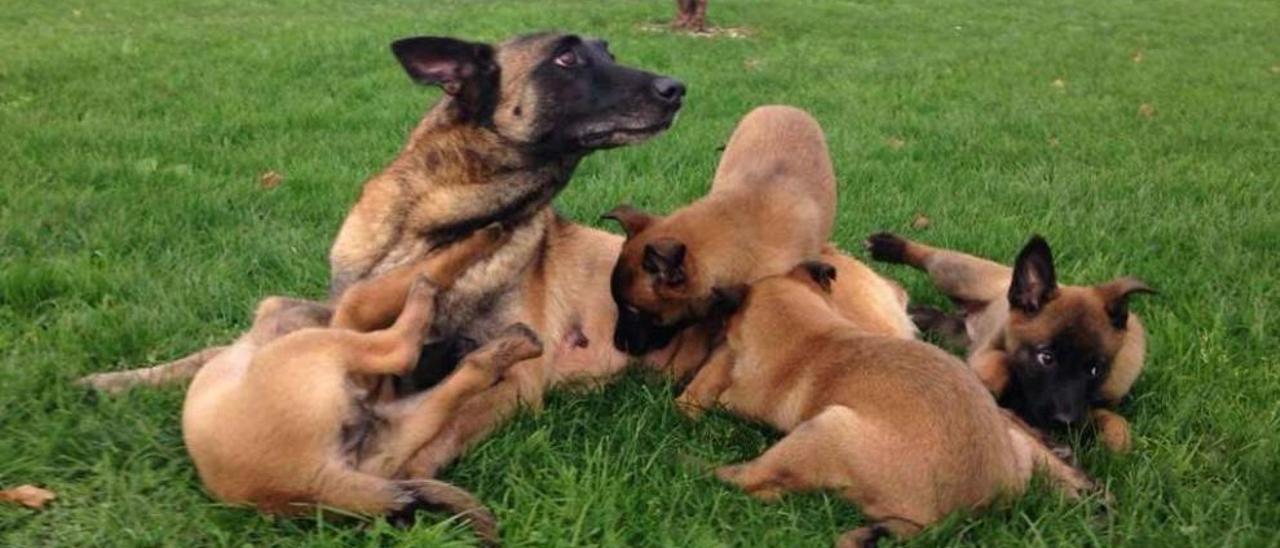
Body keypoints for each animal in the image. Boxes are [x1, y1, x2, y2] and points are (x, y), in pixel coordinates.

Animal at [81, 31, 686, 491]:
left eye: (607, 51)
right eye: (567, 58)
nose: (677, 88)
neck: (425, 228)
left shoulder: (518, 378)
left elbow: (443, 424)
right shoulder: (327, 315)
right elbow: (208, 353)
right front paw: (119, 380)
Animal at [181, 226, 540, 542]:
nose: (466, 342)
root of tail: (313, 479)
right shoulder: (352, 315)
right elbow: (389, 286)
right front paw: (484, 238)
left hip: (395, 428)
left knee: (465, 374)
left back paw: (512, 345)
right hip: (317, 349)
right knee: (401, 348)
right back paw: (430, 295)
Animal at [675, 258, 1095, 545]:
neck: (809, 332)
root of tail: (963, 514)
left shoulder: (744, 397)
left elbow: (723, 395)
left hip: (823, 429)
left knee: (751, 478)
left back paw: (696, 465)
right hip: (1016, 449)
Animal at [865, 233, 1157, 450]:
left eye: (1095, 369)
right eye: (1046, 358)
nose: (1064, 423)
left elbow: (1116, 424)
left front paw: (1113, 442)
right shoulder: (988, 349)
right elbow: (999, 363)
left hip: (953, 333)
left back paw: (916, 313)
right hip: (957, 275)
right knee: (933, 256)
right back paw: (888, 245)